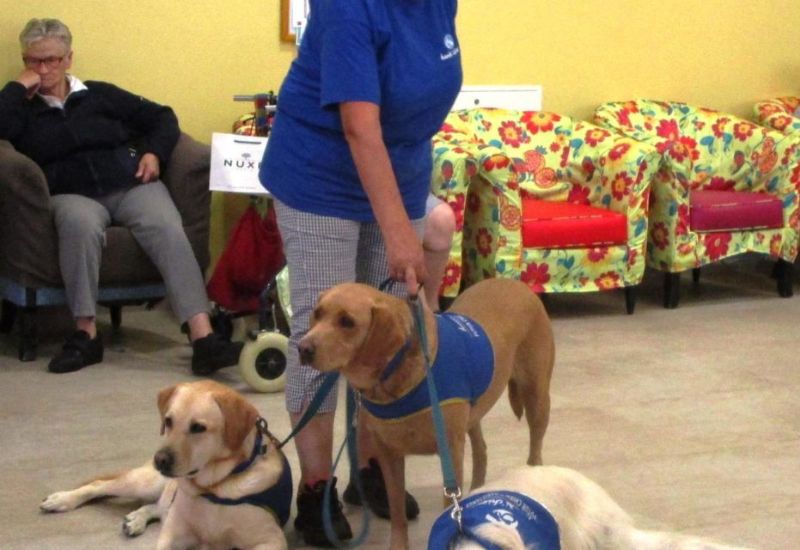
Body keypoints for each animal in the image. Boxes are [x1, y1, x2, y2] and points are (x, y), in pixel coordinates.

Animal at [40, 384, 290, 550]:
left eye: (198, 427)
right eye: (168, 421)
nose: (159, 459)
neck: (213, 487)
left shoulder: (270, 540)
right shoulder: (172, 535)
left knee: (157, 507)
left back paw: (136, 519)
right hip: (146, 483)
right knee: (99, 485)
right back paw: (61, 500)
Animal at [296, 280, 552, 550]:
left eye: (347, 322)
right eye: (317, 313)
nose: (303, 348)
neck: (394, 377)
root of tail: (515, 283)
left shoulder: (451, 453)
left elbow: (448, 507)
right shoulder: (389, 455)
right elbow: (397, 511)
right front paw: (398, 545)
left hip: (536, 398)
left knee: (535, 451)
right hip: (473, 412)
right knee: (481, 450)